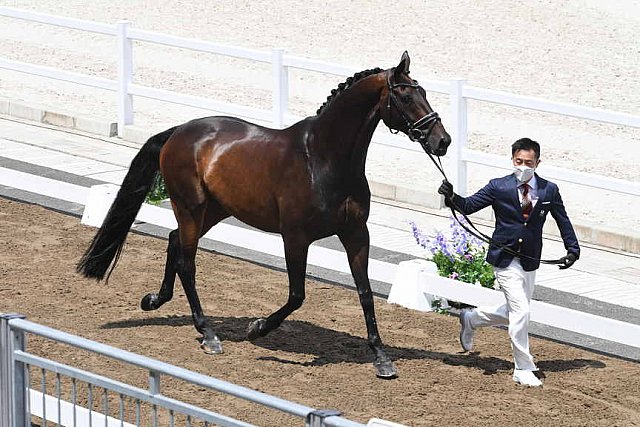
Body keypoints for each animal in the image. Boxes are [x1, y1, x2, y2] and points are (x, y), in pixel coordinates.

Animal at [77, 51, 452, 380]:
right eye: (405, 96)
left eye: (423, 92)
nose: (442, 141)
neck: (324, 159)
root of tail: (179, 131)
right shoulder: (295, 238)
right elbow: (297, 295)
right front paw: (257, 328)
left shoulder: (357, 234)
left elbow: (365, 294)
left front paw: (381, 358)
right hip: (191, 208)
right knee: (187, 261)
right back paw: (208, 334)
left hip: (214, 210)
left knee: (173, 242)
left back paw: (156, 300)